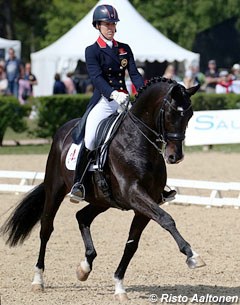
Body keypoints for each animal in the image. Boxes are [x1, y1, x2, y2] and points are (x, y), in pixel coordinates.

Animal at [1, 77, 204, 300]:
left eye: (190, 115)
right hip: (55, 190)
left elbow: (132, 244)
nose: (175, 157)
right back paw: (38, 280)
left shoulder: (144, 205)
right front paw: (192, 255)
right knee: (46, 228)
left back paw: (84, 267)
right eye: (171, 113)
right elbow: (166, 219)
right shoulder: (134, 194)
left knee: (82, 217)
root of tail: (64, 130)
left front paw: (119, 286)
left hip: (102, 200)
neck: (137, 142)